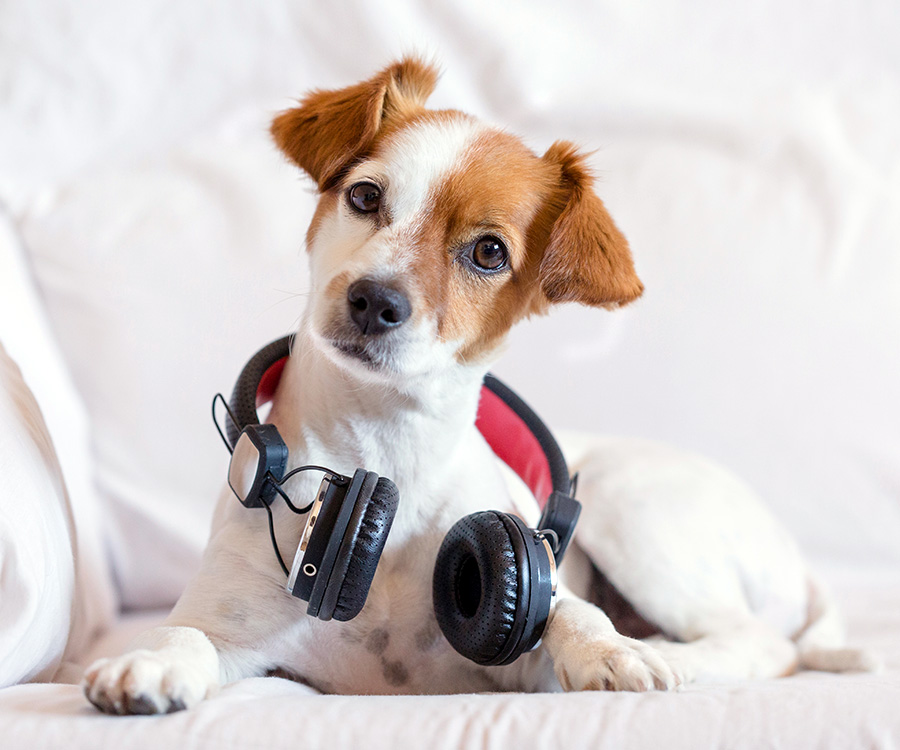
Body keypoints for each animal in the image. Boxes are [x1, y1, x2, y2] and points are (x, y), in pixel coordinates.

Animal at [82, 58, 872, 716]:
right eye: (365, 195)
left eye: (489, 252)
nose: (374, 300)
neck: (382, 461)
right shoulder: (233, 623)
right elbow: (185, 634)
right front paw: (150, 662)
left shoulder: (526, 648)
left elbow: (572, 610)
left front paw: (612, 647)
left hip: (634, 514)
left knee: (760, 641)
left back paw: (666, 648)